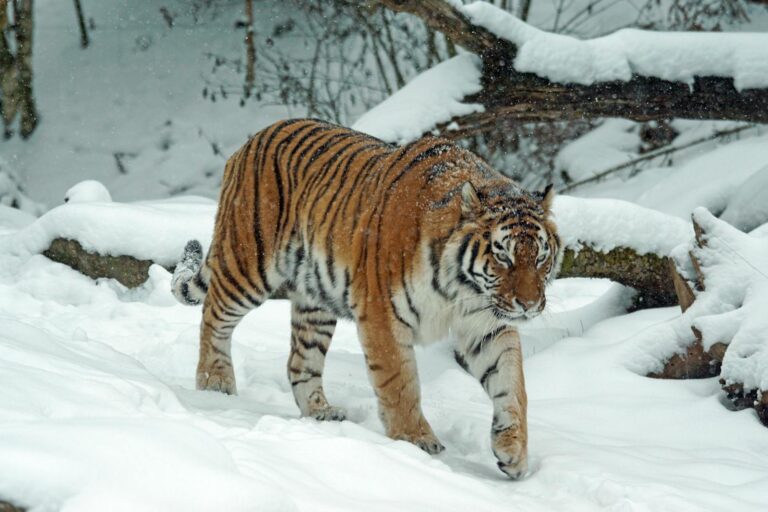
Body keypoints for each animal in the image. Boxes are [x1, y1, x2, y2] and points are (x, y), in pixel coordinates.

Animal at [171, 118, 561, 479]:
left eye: (540, 257)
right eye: (503, 256)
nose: (529, 305)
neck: (462, 289)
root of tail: (252, 139)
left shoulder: (487, 324)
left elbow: (512, 384)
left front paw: (513, 451)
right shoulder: (382, 315)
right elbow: (400, 383)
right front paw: (415, 441)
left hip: (315, 301)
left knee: (300, 361)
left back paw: (321, 413)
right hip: (248, 263)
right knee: (213, 316)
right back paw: (214, 383)